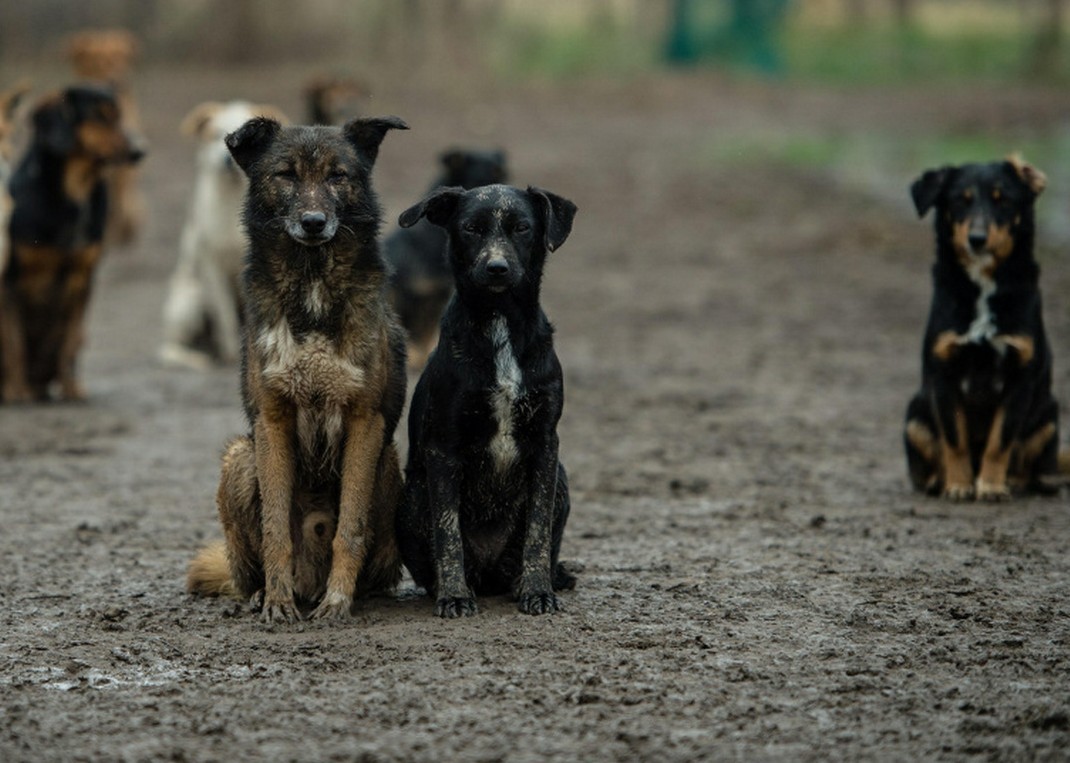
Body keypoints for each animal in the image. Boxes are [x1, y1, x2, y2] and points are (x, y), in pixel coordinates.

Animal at [0, 85, 144, 402]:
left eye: (118, 115)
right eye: (99, 116)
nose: (141, 150)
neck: (75, 193)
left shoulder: (81, 279)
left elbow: (69, 342)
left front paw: (72, 389)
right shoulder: (11, 281)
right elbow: (14, 342)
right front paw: (16, 392)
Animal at [187, 116, 408, 620]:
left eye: (337, 175)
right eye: (286, 174)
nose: (313, 222)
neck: (312, 284)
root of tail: (310, 579)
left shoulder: (365, 422)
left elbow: (350, 527)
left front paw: (338, 600)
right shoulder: (273, 420)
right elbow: (276, 529)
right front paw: (277, 601)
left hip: (389, 464)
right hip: (239, 457)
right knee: (249, 568)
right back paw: (262, 594)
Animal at [385, 147, 509, 368]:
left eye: (504, 175)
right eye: (484, 179)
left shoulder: (438, 296)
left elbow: (428, 329)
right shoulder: (411, 294)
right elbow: (414, 328)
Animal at [393, 184, 577, 620]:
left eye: (522, 228)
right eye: (471, 229)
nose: (497, 268)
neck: (500, 321)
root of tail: (490, 572)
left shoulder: (546, 445)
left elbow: (537, 533)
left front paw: (538, 591)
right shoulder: (444, 449)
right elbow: (448, 534)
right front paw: (454, 596)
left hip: (561, 478)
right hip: (411, 498)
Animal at [898, 156, 1065, 500]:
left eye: (1003, 201)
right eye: (960, 201)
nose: (976, 238)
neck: (984, 285)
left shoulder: (1020, 378)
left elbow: (1000, 442)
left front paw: (990, 485)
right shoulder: (944, 374)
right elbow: (954, 440)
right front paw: (960, 485)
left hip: (1049, 414)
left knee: (1035, 467)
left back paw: (1019, 481)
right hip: (915, 414)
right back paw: (939, 480)